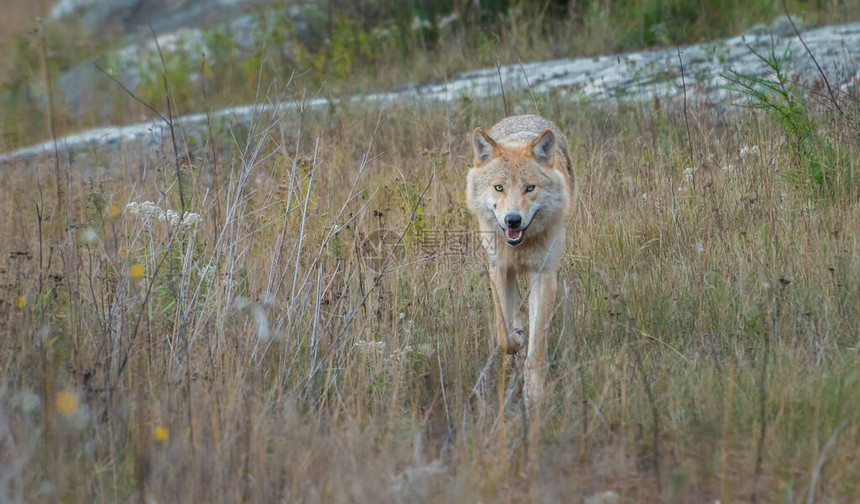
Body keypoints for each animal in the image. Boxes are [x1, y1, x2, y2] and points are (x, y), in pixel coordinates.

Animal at [466, 115, 576, 406]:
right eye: (499, 187)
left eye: (529, 188)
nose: (512, 220)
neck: (520, 245)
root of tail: (523, 116)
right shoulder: (498, 269)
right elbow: (504, 334)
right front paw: (516, 340)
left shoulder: (544, 275)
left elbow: (537, 348)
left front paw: (534, 394)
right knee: (513, 312)